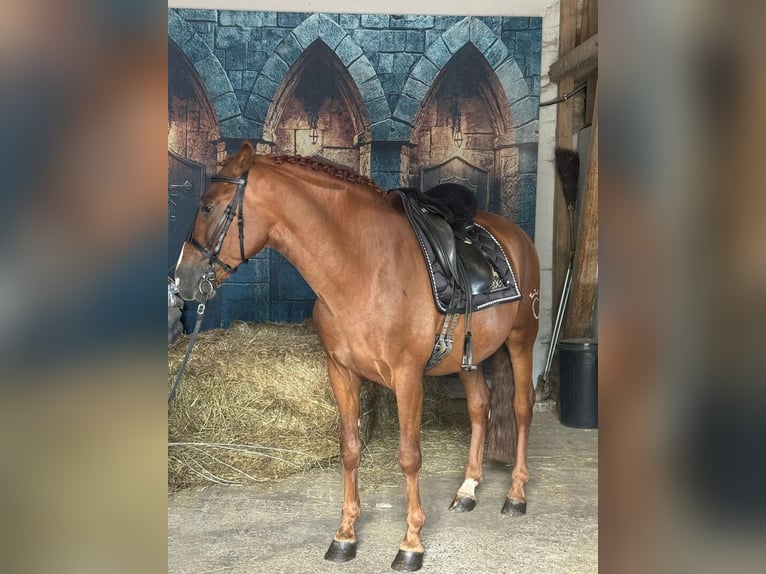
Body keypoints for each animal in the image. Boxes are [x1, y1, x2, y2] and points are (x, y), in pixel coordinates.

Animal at [174, 141, 540, 572]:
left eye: (208, 207)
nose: (181, 281)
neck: (363, 269)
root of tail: (515, 235)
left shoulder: (407, 378)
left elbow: (409, 456)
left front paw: (411, 543)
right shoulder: (341, 372)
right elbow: (349, 450)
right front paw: (345, 535)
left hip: (522, 340)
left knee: (521, 409)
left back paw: (516, 495)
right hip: (470, 356)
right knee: (480, 408)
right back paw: (467, 490)